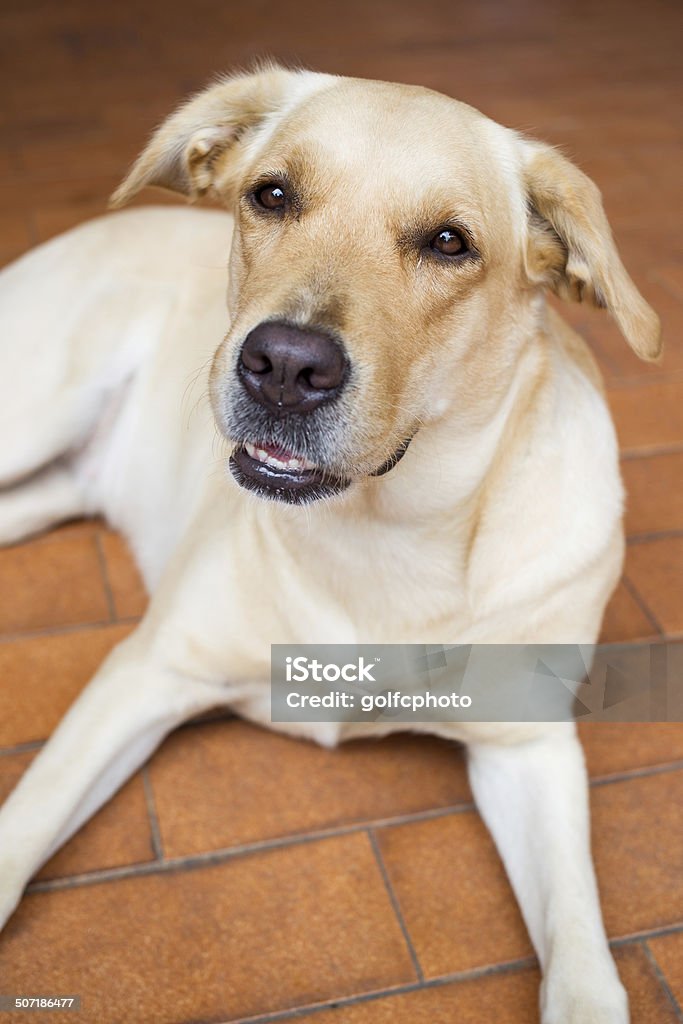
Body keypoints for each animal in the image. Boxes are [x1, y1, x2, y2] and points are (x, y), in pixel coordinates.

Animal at [0, 66, 663, 1024]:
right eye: (272, 195)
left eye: (450, 243)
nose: (283, 365)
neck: (386, 537)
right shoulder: (149, 672)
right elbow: (23, 829)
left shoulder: (528, 750)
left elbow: (580, 959)